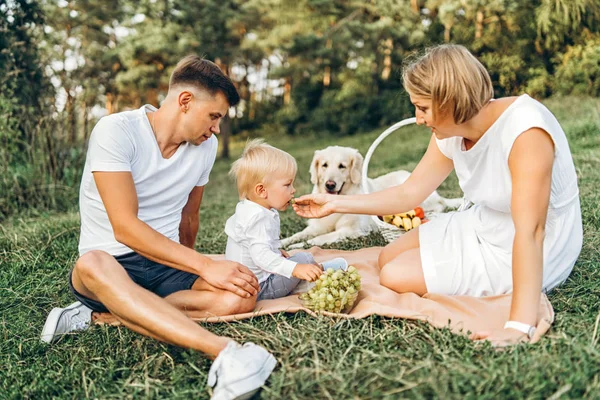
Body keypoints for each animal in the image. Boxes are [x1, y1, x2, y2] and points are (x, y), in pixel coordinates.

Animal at [282, 145, 464, 248]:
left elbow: (318, 239)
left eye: (342, 166)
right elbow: (298, 235)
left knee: (439, 205)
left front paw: (298, 246)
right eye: (324, 165)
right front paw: (284, 242)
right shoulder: (316, 227)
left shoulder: (351, 231)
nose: (330, 184)